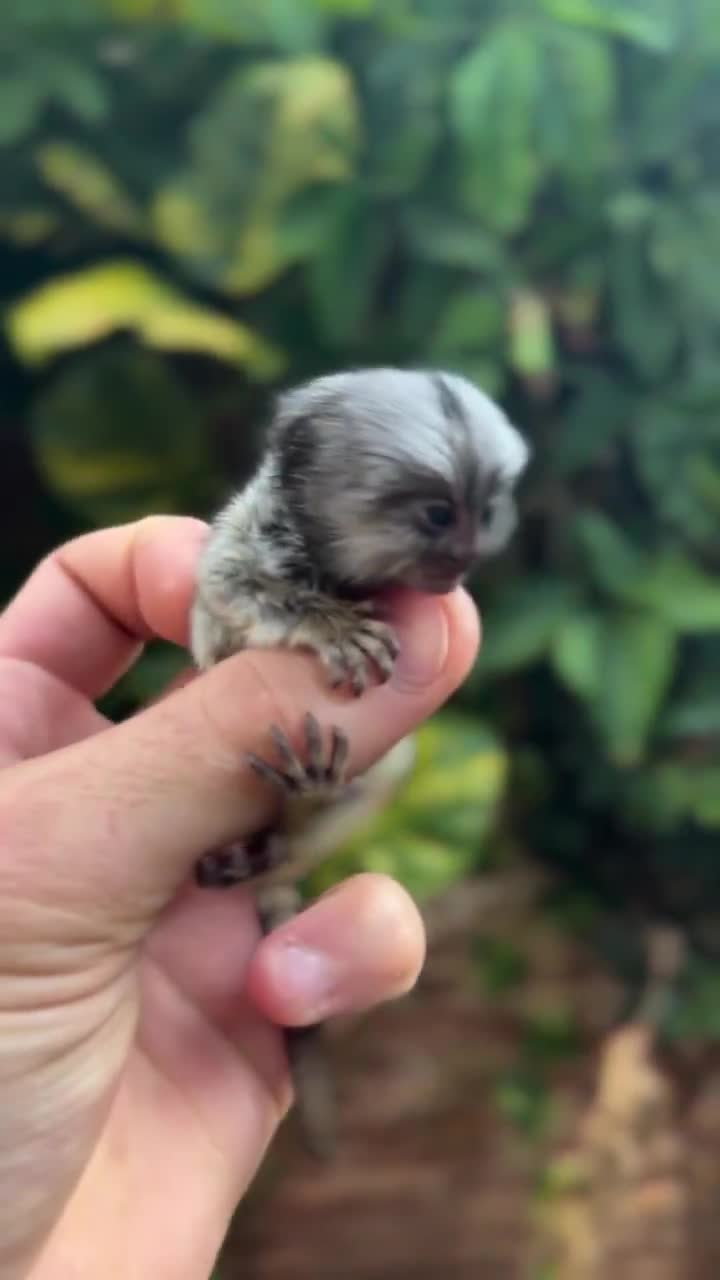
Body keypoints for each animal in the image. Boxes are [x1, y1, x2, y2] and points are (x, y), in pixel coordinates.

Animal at [190, 367, 529, 1156]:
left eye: (484, 511)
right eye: (438, 515)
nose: (467, 554)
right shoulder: (250, 538)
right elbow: (227, 588)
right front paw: (328, 624)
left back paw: (295, 817)